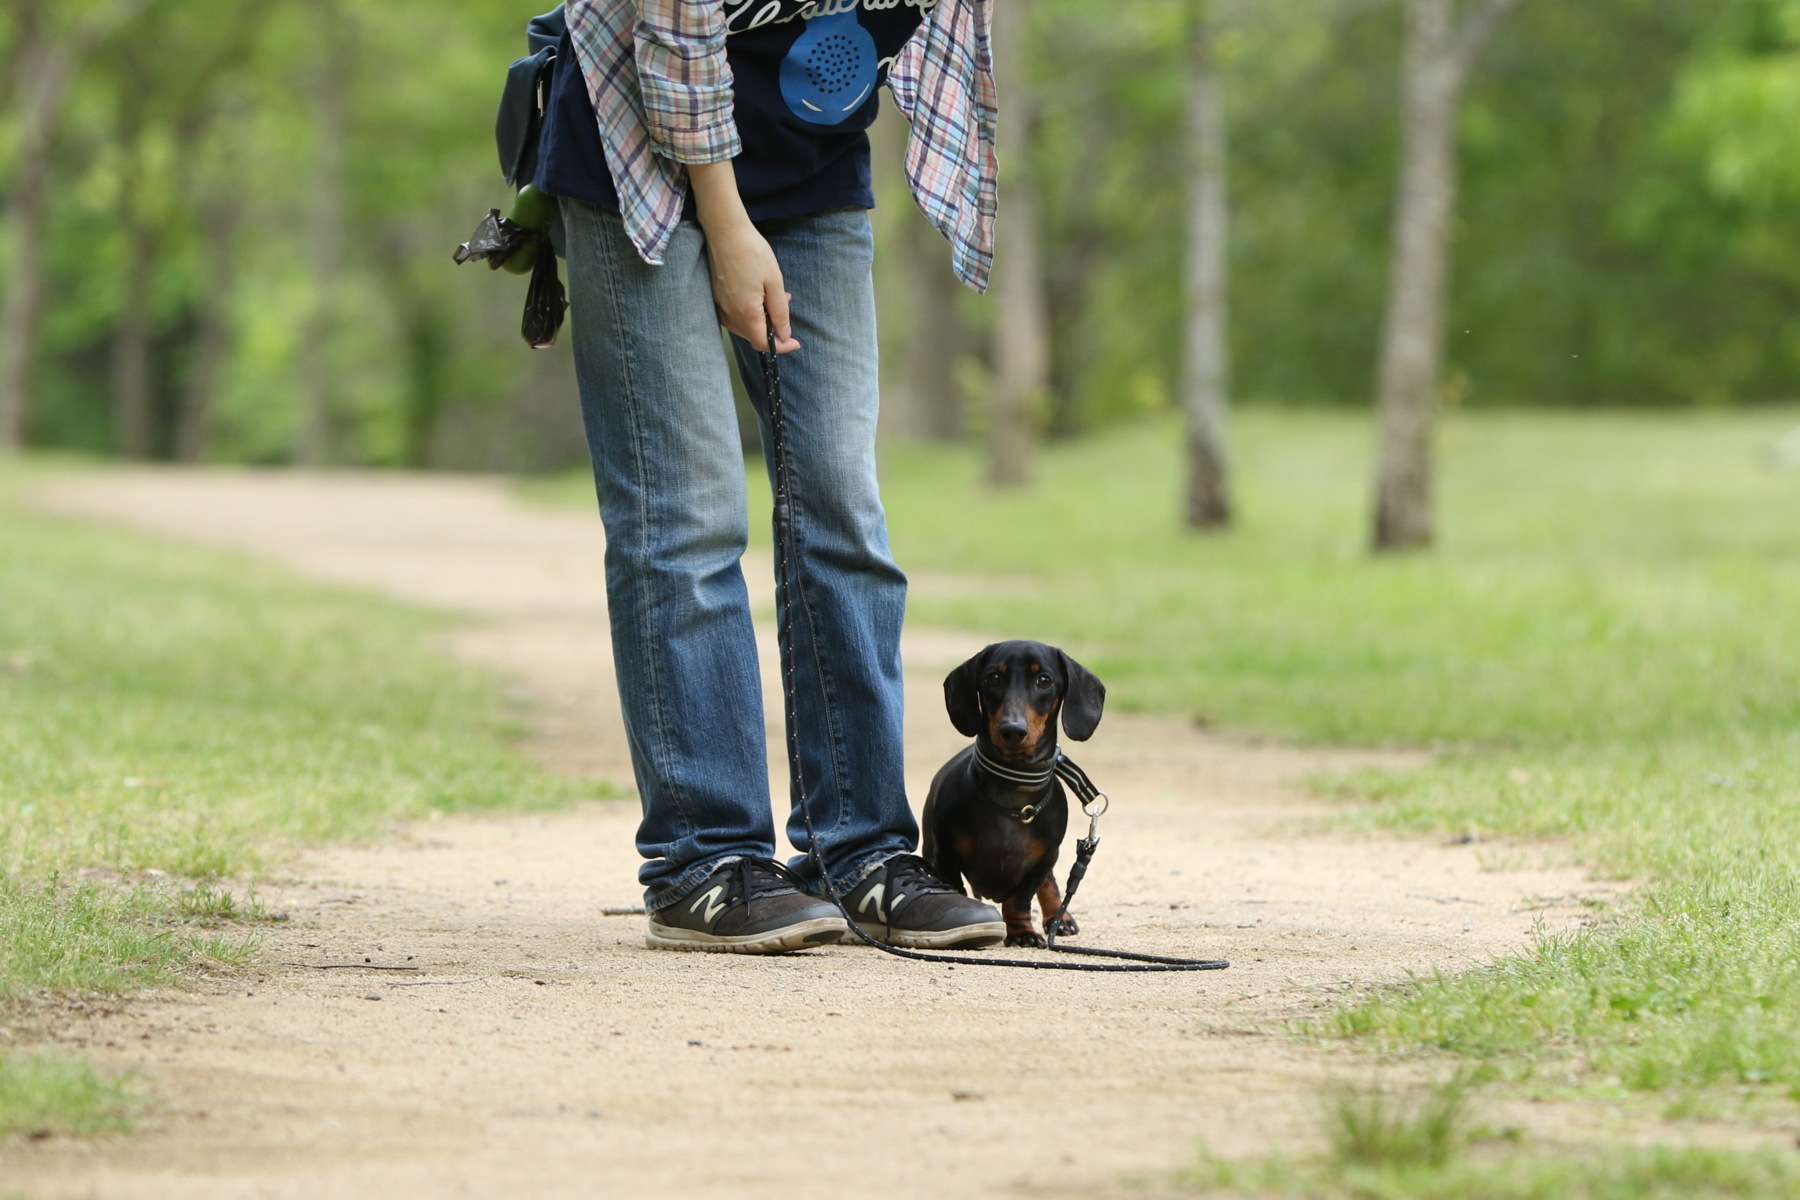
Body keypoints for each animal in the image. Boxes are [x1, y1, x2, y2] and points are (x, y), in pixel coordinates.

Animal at [921, 644, 1101, 942]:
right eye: (992, 678)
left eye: (1044, 681)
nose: (1012, 730)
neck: (1012, 789)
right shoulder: (945, 857)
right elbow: (956, 891)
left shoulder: (1044, 859)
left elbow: (1020, 899)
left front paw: (1022, 932)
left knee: (1050, 883)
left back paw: (1059, 917)